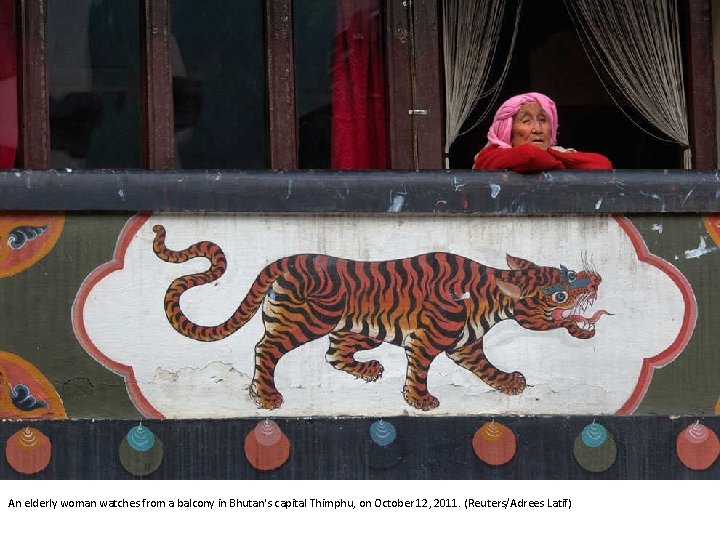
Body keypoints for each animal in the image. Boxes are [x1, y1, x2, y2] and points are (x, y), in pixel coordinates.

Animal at [153, 224, 608, 410]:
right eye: (561, 291)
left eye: (569, 270)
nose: (598, 278)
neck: (494, 297)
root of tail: (287, 258)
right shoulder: (427, 341)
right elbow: (420, 371)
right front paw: (421, 401)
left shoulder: (466, 347)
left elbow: (486, 367)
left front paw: (510, 383)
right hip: (306, 321)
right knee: (265, 349)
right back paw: (265, 397)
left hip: (355, 329)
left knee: (335, 354)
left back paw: (369, 370)